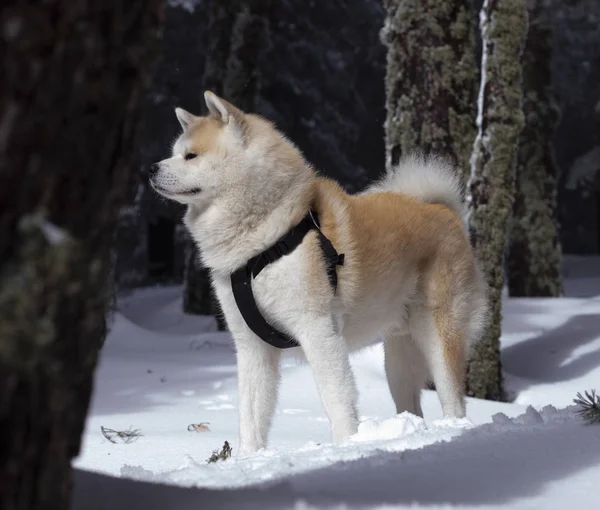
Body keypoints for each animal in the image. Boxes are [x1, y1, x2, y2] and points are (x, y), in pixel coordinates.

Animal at [149, 91, 488, 454]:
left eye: (191, 155)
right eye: (175, 152)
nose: (151, 168)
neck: (266, 240)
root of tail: (445, 212)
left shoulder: (318, 331)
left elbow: (337, 399)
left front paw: (347, 446)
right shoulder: (252, 346)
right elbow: (251, 417)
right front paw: (249, 458)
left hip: (439, 338)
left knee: (454, 402)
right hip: (398, 357)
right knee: (410, 404)